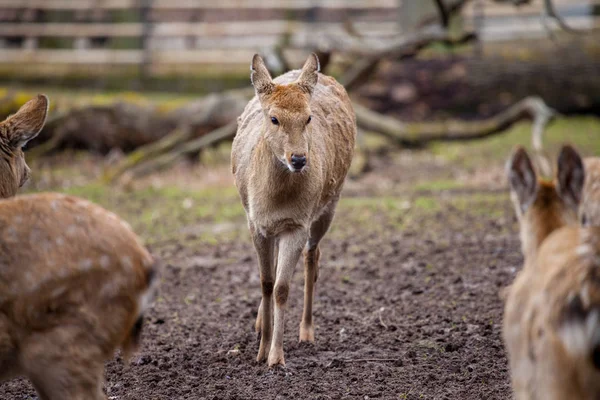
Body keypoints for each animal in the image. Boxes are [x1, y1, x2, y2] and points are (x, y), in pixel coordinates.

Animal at [232, 52, 356, 366]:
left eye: (308, 117)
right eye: (273, 118)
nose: (298, 158)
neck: (273, 200)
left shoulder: (297, 224)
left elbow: (281, 289)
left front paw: (275, 356)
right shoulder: (255, 223)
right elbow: (266, 282)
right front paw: (260, 350)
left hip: (330, 204)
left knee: (313, 257)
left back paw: (307, 331)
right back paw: (259, 325)